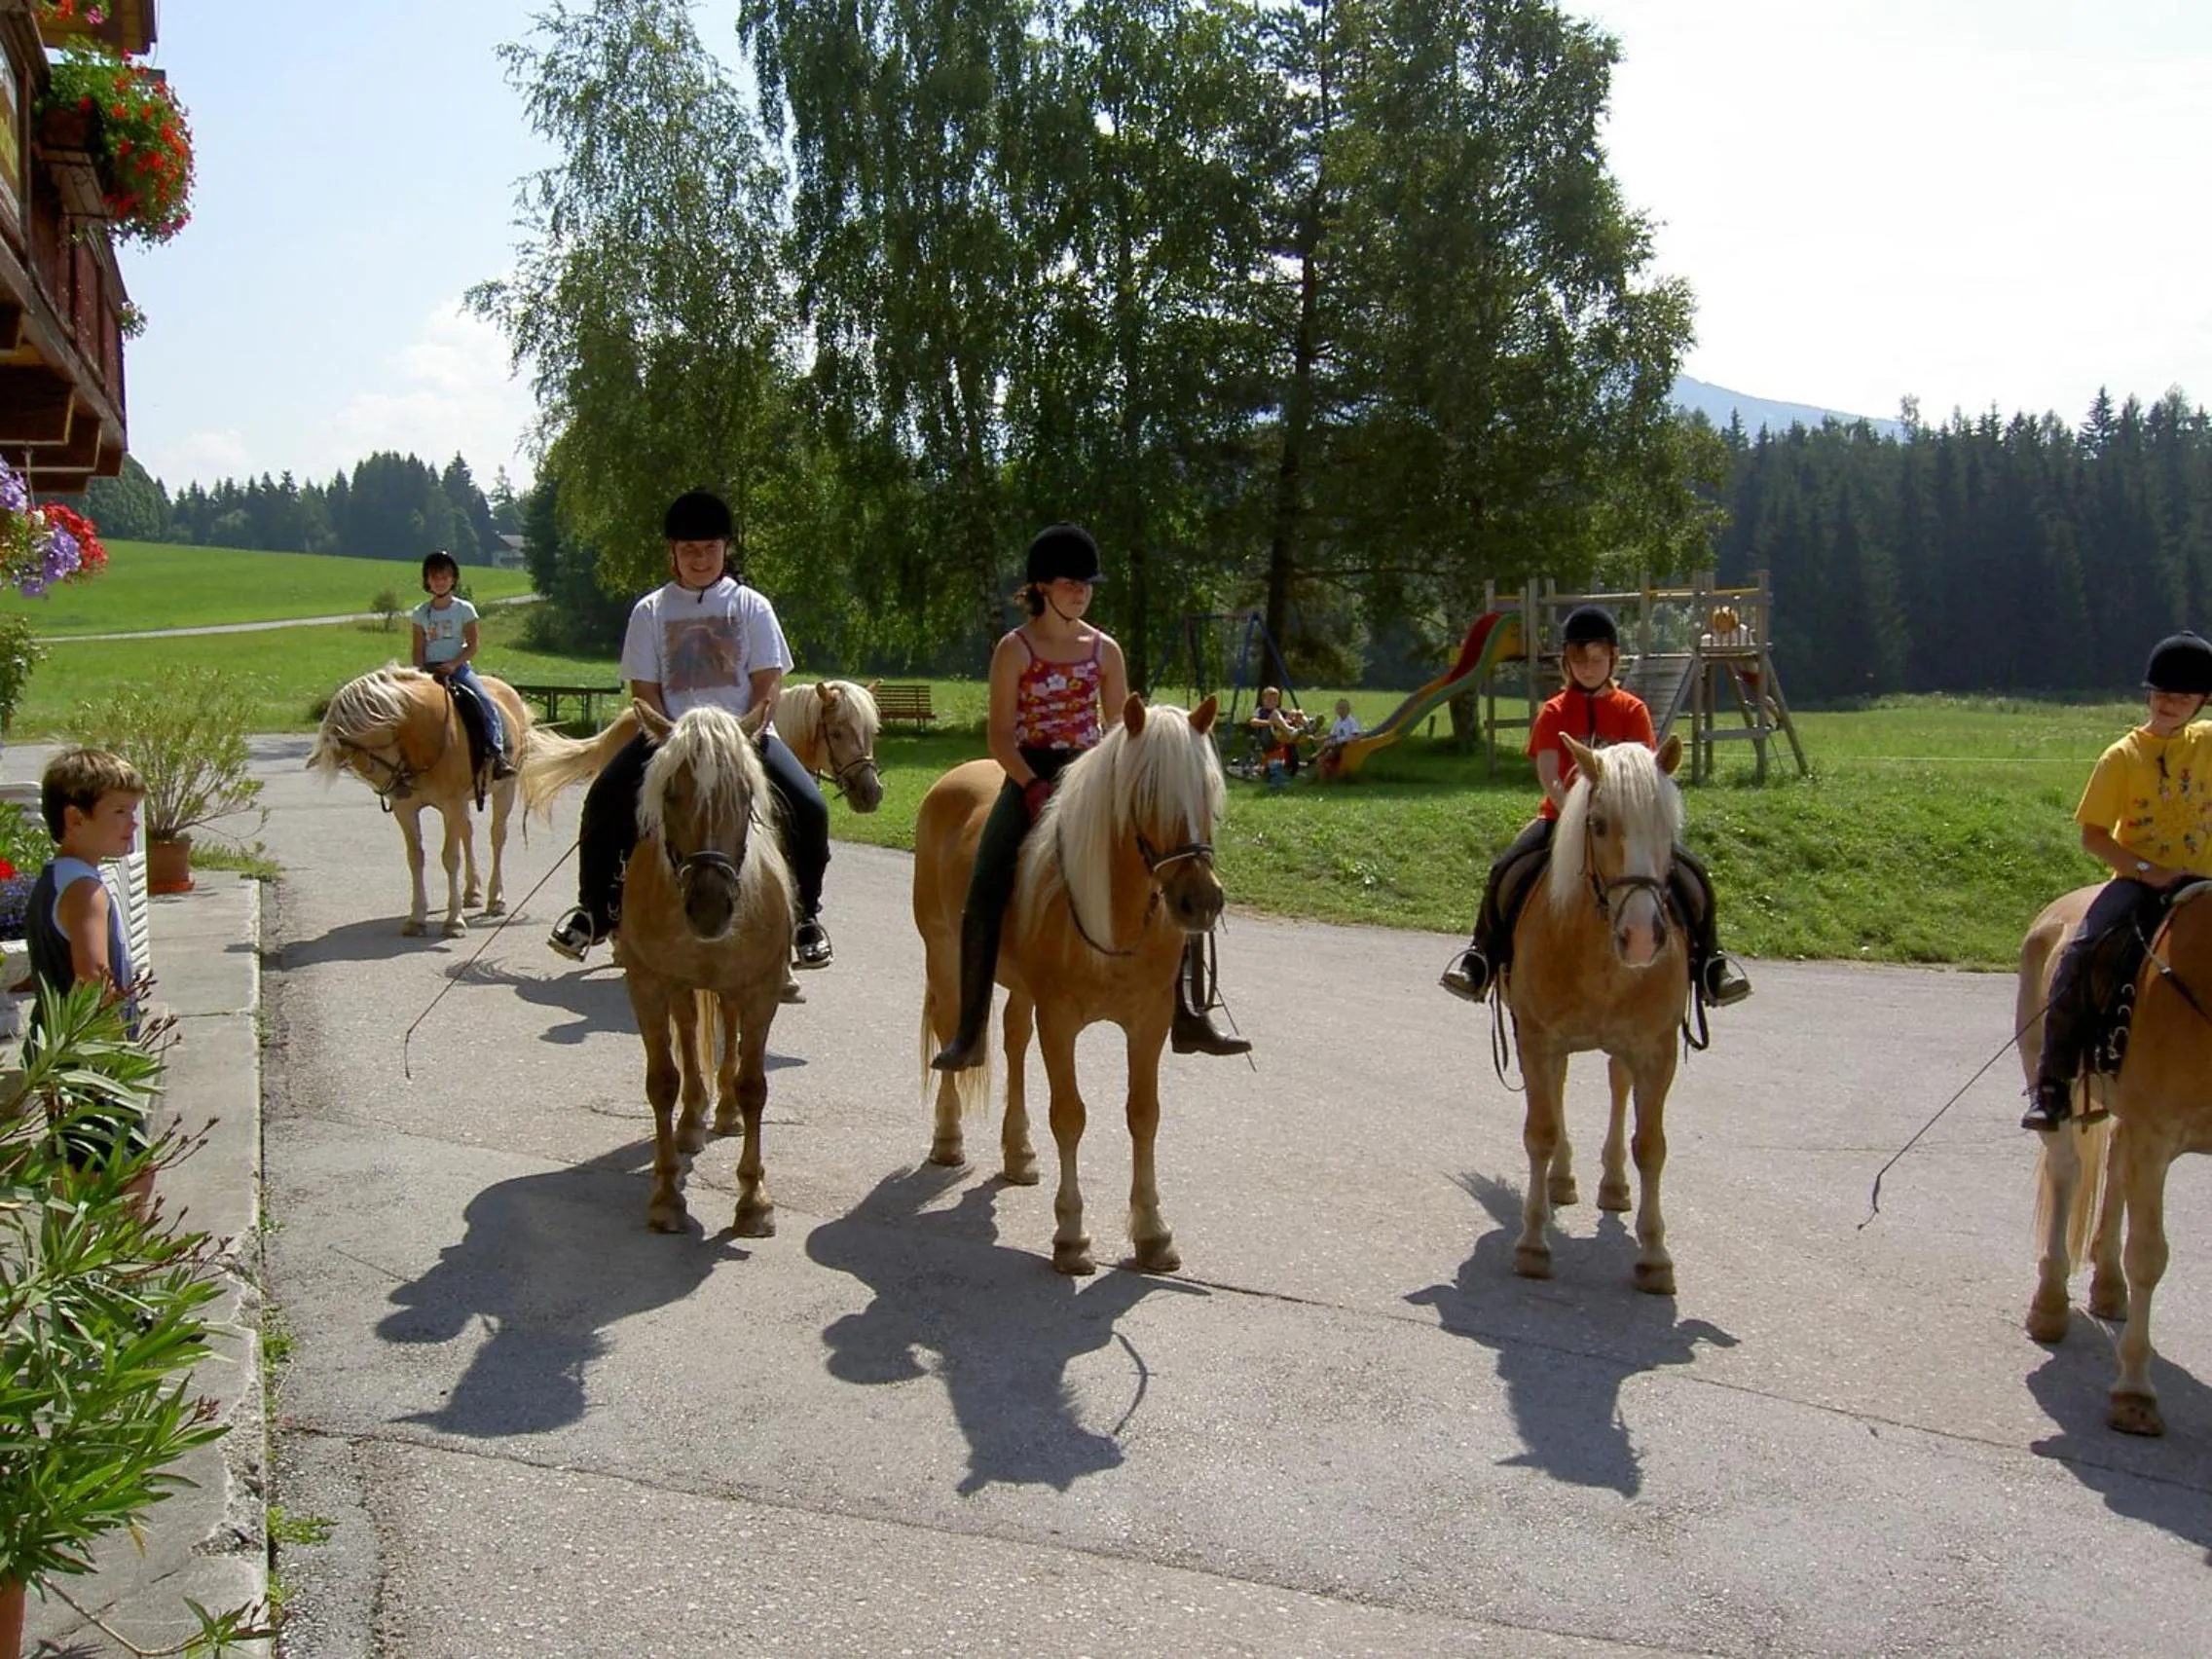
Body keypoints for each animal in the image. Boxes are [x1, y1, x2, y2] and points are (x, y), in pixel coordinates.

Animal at [307, 666, 531, 937]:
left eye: (373, 759)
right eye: (358, 769)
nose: (398, 791)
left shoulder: (451, 805)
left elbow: (450, 858)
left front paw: (453, 921)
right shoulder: (407, 810)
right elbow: (415, 858)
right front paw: (416, 918)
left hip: (505, 789)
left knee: (497, 837)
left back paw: (495, 899)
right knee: (467, 833)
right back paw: (472, 892)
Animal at [523, 701, 794, 1235]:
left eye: (745, 794)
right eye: (671, 793)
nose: (710, 906)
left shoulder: (761, 988)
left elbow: (754, 1085)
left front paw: (754, 1201)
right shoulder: (647, 984)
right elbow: (663, 1081)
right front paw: (667, 1195)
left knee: (724, 1030)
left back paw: (724, 1112)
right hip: (680, 987)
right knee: (688, 1033)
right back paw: (692, 1123)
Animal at [912, 694, 1225, 1276]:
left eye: (1208, 793)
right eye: (1145, 795)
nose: (1200, 901)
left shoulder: (1148, 1022)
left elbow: (1143, 1115)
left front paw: (1152, 1233)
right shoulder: (1060, 1020)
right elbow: (1070, 1115)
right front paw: (1072, 1237)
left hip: (1019, 986)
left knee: (1013, 1037)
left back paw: (1019, 1153)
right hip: (942, 952)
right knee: (950, 1032)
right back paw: (947, 1137)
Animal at [1504, 734, 1690, 1293]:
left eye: (1667, 824)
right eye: (1599, 823)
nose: (1643, 936)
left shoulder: (1657, 1049)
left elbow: (1651, 1145)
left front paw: (1655, 1256)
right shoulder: (1536, 1038)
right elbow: (1540, 1132)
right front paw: (1533, 1242)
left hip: (1623, 1049)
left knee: (1617, 1085)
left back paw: (1613, 1185)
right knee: (1560, 1091)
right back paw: (1563, 1180)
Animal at [2025, 881, 2212, 1436]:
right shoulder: (2154, 1134)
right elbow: (2148, 1257)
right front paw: (2134, 1394)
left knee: (2112, 1175)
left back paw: (2108, 1287)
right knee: (2069, 1172)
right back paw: (2050, 1305)